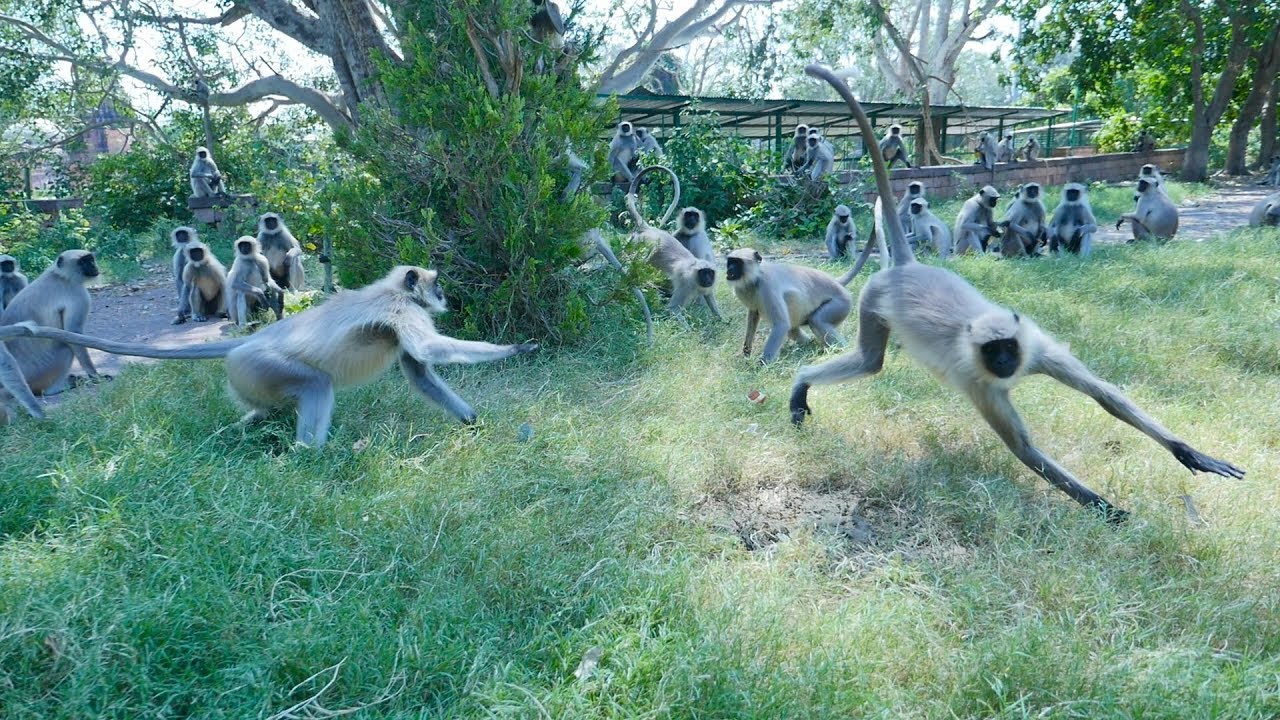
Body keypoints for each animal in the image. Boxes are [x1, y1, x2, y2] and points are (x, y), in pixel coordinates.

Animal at [0, 250, 106, 422]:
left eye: (91, 259)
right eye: (84, 262)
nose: (94, 266)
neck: (58, 275)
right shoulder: (77, 293)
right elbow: (74, 332)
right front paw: (96, 376)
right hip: (40, 372)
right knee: (65, 347)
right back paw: (54, 389)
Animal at [4, 267, 540, 447]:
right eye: (437, 285)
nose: (445, 296)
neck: (393, 291)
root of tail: (243, 343)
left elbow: (420, 372)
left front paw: (472, 421)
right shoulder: (399, 310)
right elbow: (428, 350)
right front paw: (517, 347)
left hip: (250, 377)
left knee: (264, 410)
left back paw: (236, 434)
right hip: (265, 368)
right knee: (316, 386)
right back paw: (313, 454)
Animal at [625, 167, 723, 325]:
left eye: (710, 273)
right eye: (704, 273)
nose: (708, 279)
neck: (694, 272)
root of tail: (648, 229)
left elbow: (709, 296)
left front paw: (721, 320)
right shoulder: (687, 284)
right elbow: (673, 309)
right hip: (641, 244)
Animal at [789, 63, 1245, 522]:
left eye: (1007, 346)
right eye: (992, 351)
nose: (1006, 362)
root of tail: (907, 268)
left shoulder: (1036, 347)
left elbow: (1105, 396)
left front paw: (1187, 452)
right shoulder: (981, 382)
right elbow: (1025, 450)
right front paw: (1108, 511)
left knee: (870, 361)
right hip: (873, 298)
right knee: (870, 362)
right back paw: (802, 380)